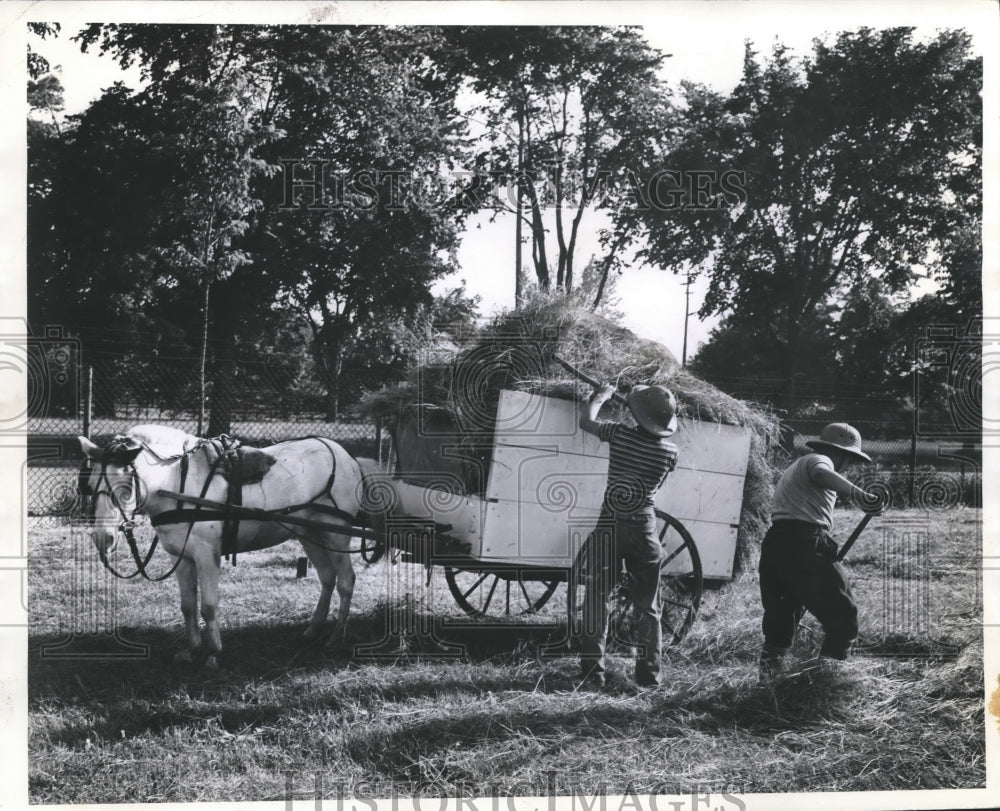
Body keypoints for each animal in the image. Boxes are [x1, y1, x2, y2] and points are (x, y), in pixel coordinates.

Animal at [79, 426, 368, 668]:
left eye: (125, 487)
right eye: (91, 485)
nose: (103, 538)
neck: (176, 482)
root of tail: (346, 456)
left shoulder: (207, 555)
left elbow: (207, 606)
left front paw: (213, 653)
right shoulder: (181, 557)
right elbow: (187, 605)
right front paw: (191, 649)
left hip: (335, 535)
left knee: (346, 580)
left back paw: (336, 636)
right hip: (311, 534)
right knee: (327, 578)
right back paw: (313, 629)